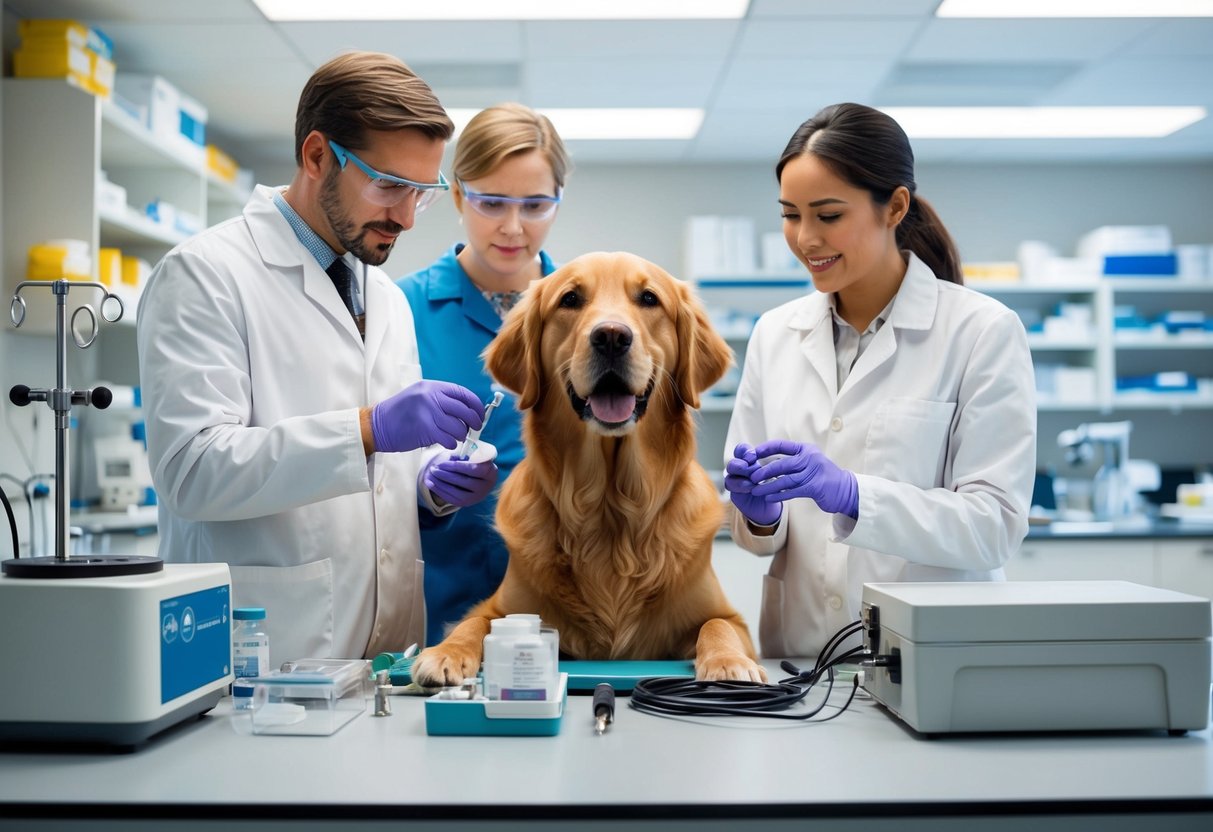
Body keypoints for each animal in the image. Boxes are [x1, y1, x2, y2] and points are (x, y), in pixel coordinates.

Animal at [412, 251, 761, 688]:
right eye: (570, 299)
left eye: (649, 298)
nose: (611, 336)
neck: (610, 509)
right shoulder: (495, 606)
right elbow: (472, 624)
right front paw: (445, 653)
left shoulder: (729, 616)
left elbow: (718, 626)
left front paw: (729, 663)